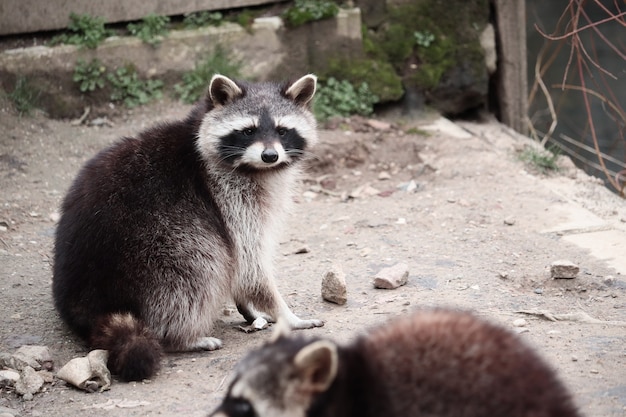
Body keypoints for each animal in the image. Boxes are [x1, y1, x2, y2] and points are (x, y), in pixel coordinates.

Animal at [52, 74, 322, 380]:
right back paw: (181, 337)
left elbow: (241, 269)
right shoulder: (228, 197)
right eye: (248, 131)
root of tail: (88, 303)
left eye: (282, 130)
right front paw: (286, 314)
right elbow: (249, 265)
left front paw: (251, 309)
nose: (269, 156)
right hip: (156, 243)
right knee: (198, 266)